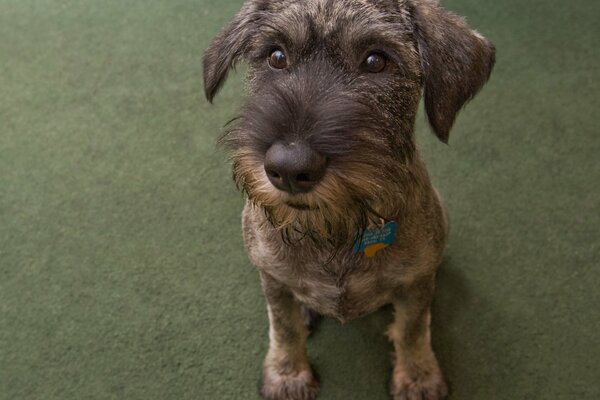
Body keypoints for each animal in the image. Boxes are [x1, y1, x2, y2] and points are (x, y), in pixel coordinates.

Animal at [204, 1, 494, 398]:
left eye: (375, 61)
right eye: (276, 56)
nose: (289, 168)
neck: (335, 229)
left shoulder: (415, 282)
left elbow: (413, 328)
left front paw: (417, 375)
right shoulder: (272, 277)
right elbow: (284, 326)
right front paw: (288, 373)